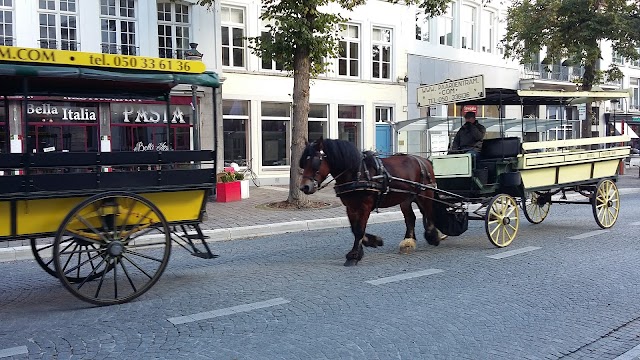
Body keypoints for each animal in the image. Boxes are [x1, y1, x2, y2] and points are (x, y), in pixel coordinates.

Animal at [298, 136, 440, 266]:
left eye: (315, 162)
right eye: (304, 163)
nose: (304, 187)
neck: (357, 173)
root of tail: (424, 160)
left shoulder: (364, 206)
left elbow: (359, 229)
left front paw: (354, 256)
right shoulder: (350, 207)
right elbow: (355, 229)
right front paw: (373, 241)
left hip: (425, 194)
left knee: (429, 212)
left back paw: (432, 236)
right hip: (405, 199)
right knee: (410, 218)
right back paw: (408, 241)